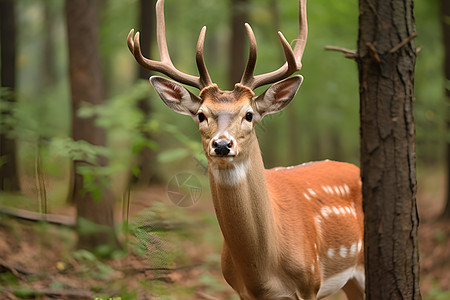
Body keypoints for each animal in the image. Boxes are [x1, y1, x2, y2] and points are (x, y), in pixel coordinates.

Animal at [125, 1, 364, 298]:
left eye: (249, 114)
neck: (263, 274)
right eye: (201, 115)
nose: (222, 144)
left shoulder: (310, 282)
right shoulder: (238, 289)